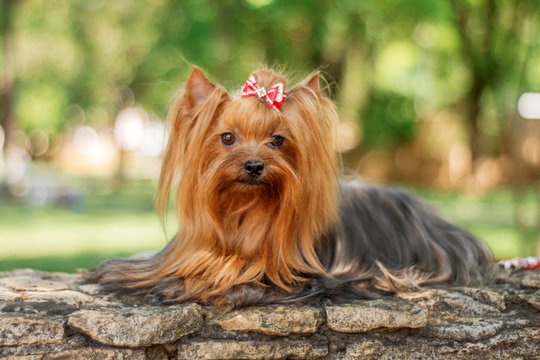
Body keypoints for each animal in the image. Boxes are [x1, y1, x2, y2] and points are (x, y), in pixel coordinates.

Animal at [94, 65, 494, 306]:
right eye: (227, 138)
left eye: (278, 140)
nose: (254, 165)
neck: (244, 210)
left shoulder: (306, 280)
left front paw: (205, 286)